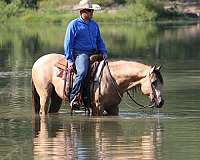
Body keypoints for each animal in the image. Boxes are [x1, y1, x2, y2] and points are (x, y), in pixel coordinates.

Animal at [32, 53, 164, 115]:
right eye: (153, 82)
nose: (161, 102)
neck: (112, 79)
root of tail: (38, 61)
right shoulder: (98, 107)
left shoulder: (113, 108)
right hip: (44, 94)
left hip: (56, 98)